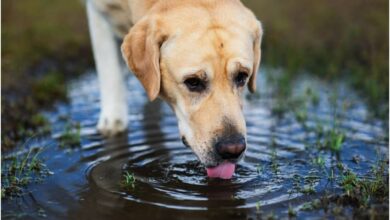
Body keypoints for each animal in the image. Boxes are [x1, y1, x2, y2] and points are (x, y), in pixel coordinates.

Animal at [85, 0, 262, 179]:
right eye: (193, 82)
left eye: (242, 76)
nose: (233, 149)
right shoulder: (97, 13)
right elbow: (109, 70)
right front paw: (113, 121)